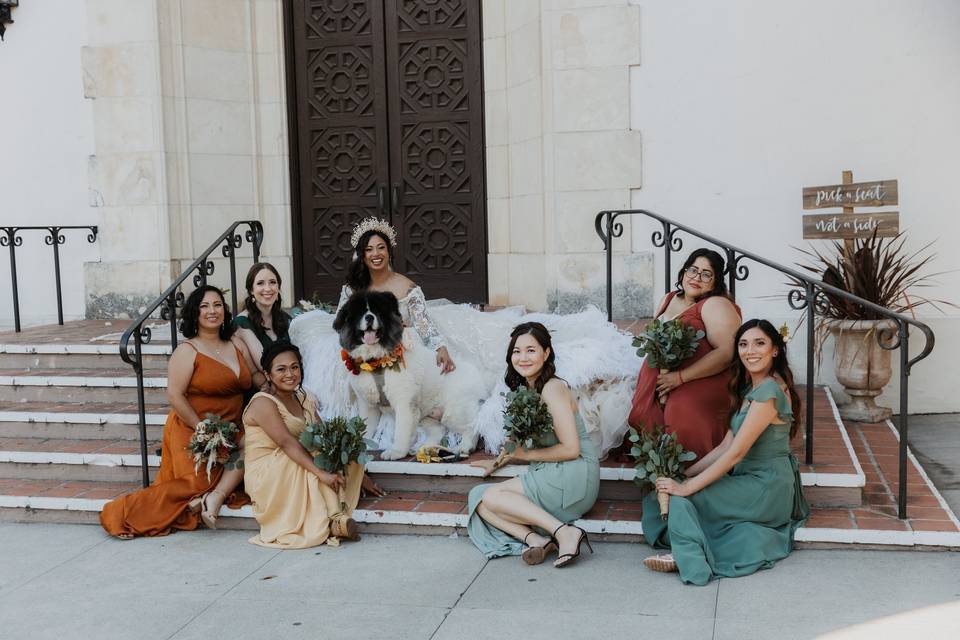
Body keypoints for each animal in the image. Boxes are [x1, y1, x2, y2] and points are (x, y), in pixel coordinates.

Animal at [334, 290, 484, 460]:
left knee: (473, 426)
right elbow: (365, 428)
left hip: (454, 412)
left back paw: (464, 447)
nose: (369, 317)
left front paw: (396, 452)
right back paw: (424, 449)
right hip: (427, 415)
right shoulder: (368, 405)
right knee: (438, 431)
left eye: (378, 312)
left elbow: (401, 430)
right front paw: (360, 449)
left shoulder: (404, 402)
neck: (376, 361)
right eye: (360, 312)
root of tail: (476, 374)